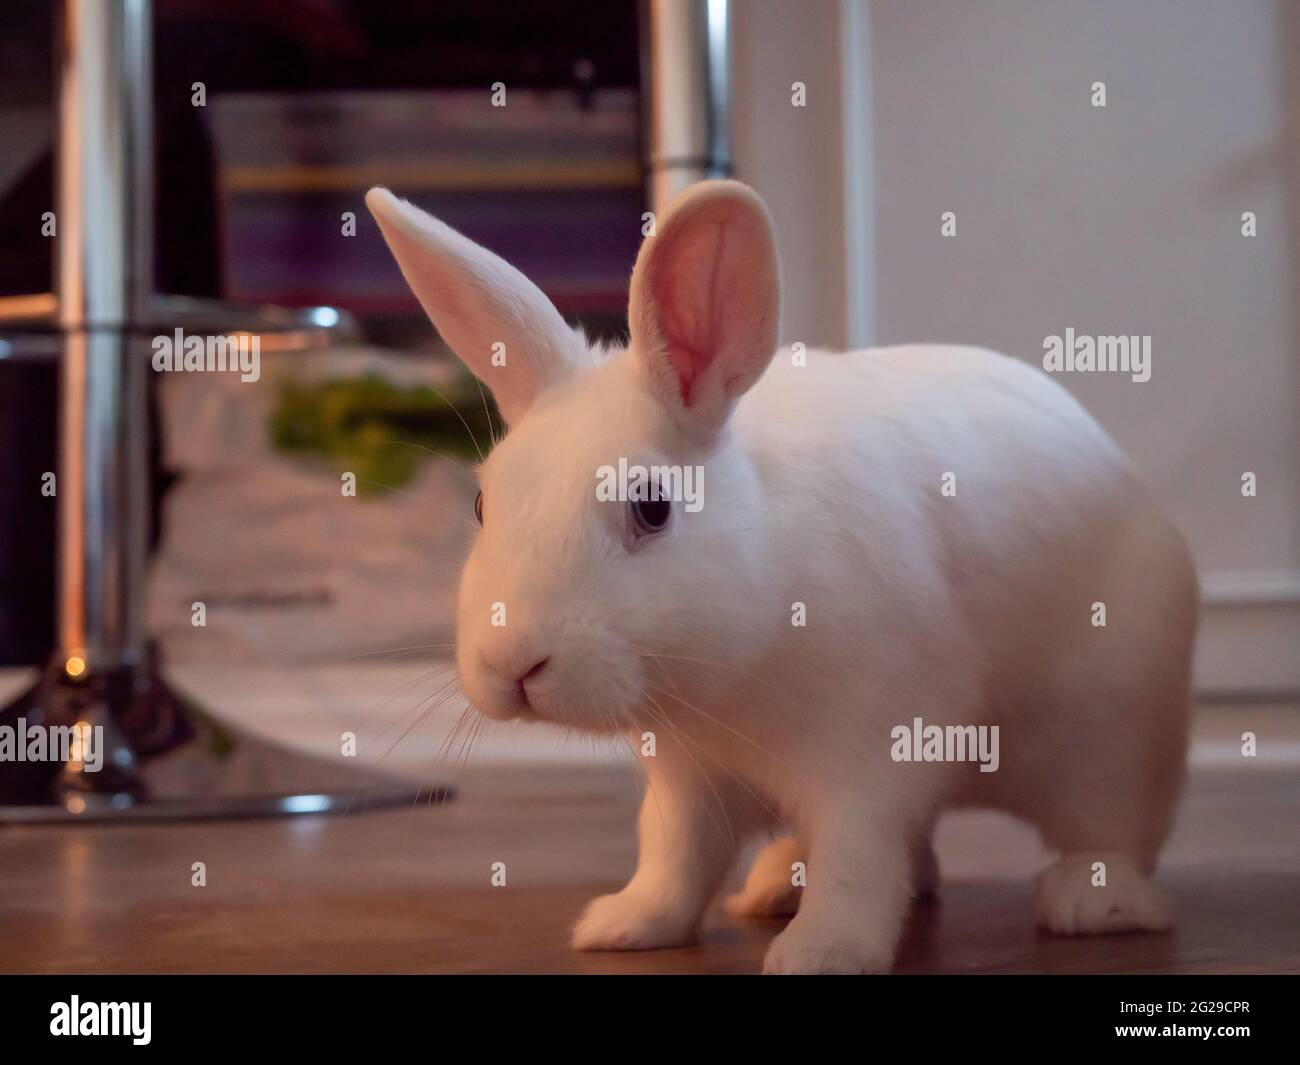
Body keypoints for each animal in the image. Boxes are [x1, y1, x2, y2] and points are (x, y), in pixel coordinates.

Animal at [365, 179, 1197, 974]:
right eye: (482, 502)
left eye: (652, 507)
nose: (513, 663)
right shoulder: (686, 777)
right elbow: (673, 854)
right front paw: (625, 925)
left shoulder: (871, 755)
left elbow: (858, 861)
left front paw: (822, 952)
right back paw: (776, 882)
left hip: (1109, 736)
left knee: (1113, 831)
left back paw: (1092, 901)